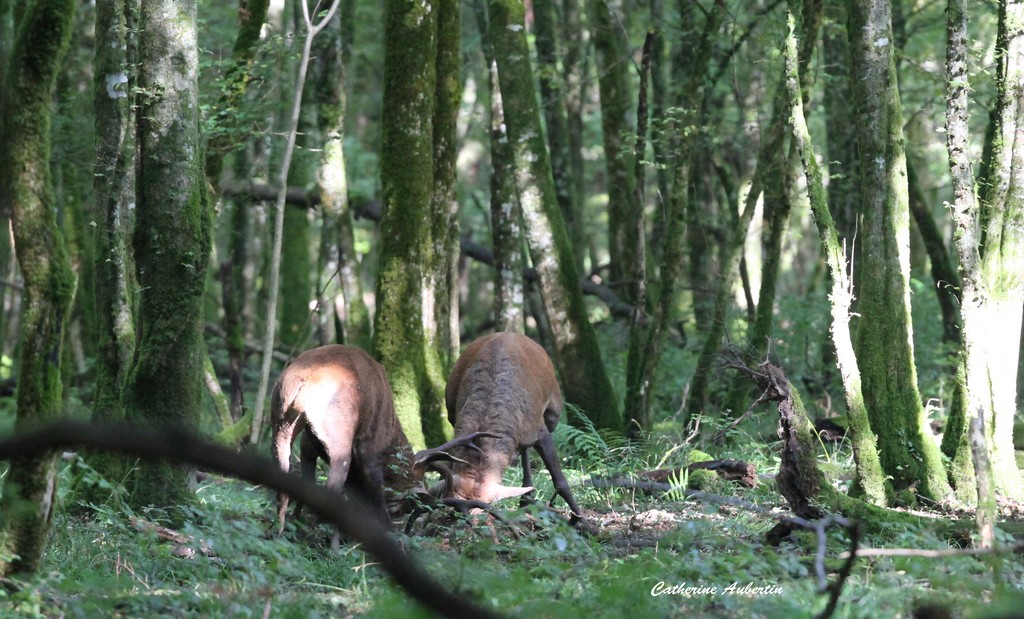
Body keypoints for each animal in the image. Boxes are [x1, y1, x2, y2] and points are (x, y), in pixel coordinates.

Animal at [409, 334, 585, 522]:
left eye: (486, 504)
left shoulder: (540, 431)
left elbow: (560, 481)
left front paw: (581, 518)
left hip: (553, 412)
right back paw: (526, 496)